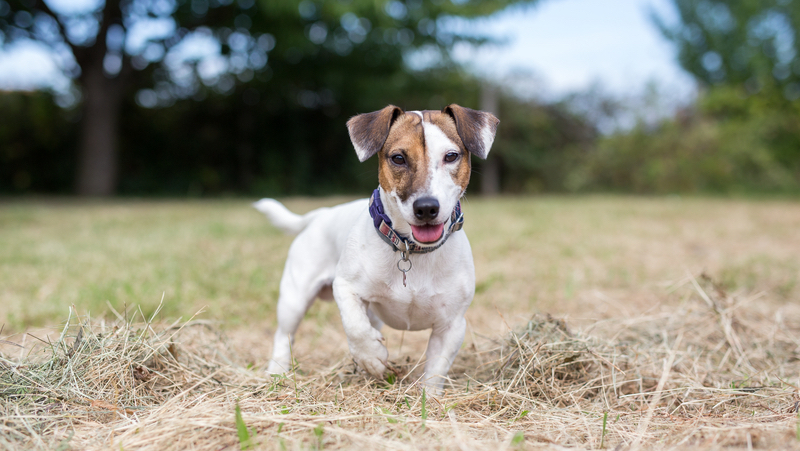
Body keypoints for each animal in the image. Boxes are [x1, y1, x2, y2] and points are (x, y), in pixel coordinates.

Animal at [253, 104, 496, 394]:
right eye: (398, 158)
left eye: (451, 156)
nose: (426, 207)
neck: (411, 250)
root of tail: (321, 213)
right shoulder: (345, 287)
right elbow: (355, 327)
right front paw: (373, 358)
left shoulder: (452, 325)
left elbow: (436, 369)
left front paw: (430, 397)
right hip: (294, 298)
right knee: (284, 335)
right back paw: (277, 372)